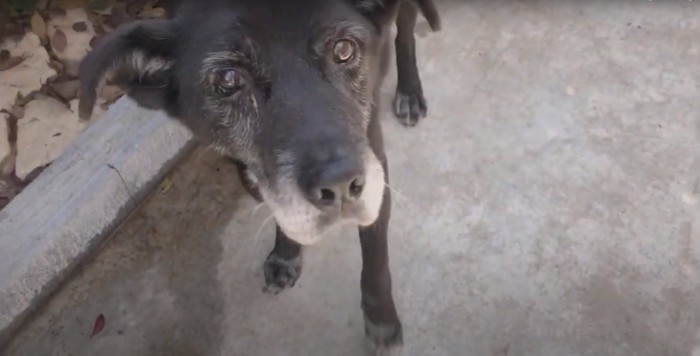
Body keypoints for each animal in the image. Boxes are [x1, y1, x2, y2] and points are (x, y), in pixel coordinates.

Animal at [79, 0, 440, 352]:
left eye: (343, 49)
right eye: (228, 80)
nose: (339, 186)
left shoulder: (377, 169)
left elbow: (375, 261)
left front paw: (382, 321)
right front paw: (286, 253)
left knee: (405, 31)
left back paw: (409, 90)